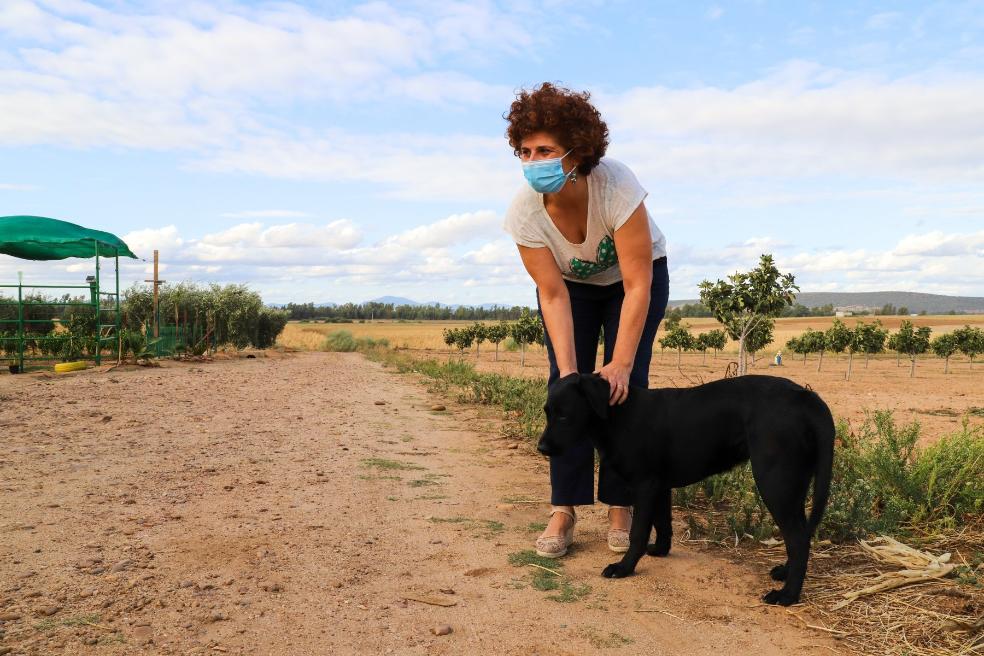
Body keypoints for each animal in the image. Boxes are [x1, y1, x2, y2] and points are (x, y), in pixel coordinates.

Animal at [540, 374, 832, 604]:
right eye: (547, 412)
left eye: (564, 415)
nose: (541, 448)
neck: (618, 416)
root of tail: (807, 397)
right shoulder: (659, 486)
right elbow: (662, 523)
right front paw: (660, 550)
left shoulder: (645, 485)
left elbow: (638, 533)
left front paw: (624, 567)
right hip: (792, 486)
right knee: (800, 535)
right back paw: (785, 573)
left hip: (775, 483)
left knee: (798, 538)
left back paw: (788, 595)